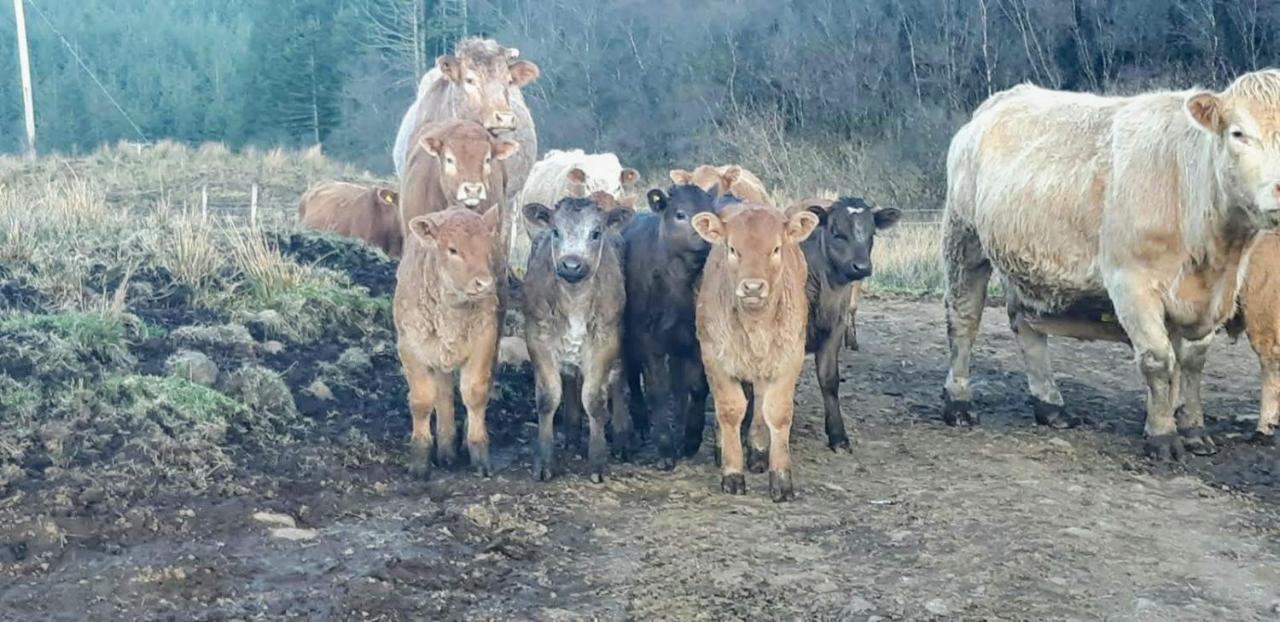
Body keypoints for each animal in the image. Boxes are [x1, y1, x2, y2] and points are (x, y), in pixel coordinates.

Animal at [394, 203, 504, 476]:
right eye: (453, 249)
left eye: (488, 249)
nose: (485, 283)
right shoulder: (410, 346)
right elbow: (422, 399)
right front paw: (420, 459)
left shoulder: (485, 340)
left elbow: (475, 392)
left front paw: (479, 451)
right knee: (443, 394)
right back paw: (446, 448)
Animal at [519, 191, 634, 483]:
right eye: (556, 231)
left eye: (595, 233)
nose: (571, 265)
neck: (574, 301)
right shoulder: (537, 337)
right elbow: (548, 398)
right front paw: (544, 461)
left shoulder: (606, 339)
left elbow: (594, 399)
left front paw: (598, 462)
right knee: (570, 378)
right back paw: (571, 433)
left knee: (618, 380)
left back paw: (622, 437)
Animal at [691, 203, 819, 501]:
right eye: (732, 248)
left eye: (776, 248)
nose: (752, 287)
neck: (755, 325)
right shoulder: (714, 357)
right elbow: (730, 410)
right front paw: (732, 473)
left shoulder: (789, 358)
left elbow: (777, 412)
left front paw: (781, 479)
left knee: (761, 402)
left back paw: (759, 451)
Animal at [942, 71, 1280, 460]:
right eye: (1238, 133)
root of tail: (1003, 99)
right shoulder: (1131, 283)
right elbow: (1158, 359)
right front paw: (1162, 435)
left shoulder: (1210, 296)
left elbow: (1192, 362)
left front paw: (1193, 429)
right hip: (964, 238)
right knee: (963, 320)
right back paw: (959, 403)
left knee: (1025, 324)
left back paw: (1051, 406)